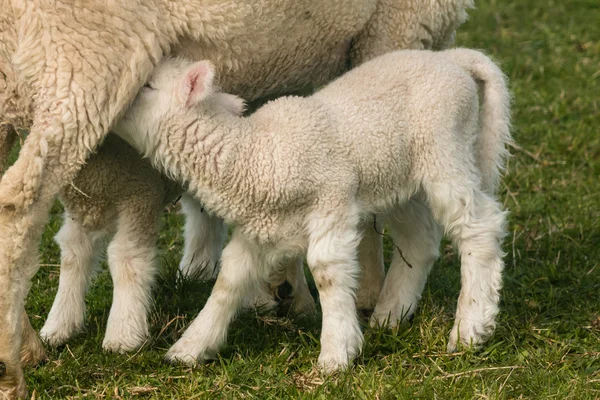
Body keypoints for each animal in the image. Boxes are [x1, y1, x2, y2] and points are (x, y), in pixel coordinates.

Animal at [113, 49, 510, 372]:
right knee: (420, 241)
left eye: (147, 86)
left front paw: (337, 353)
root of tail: (452, 59)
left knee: (480, 228)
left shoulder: (333, 201)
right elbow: (229, 279)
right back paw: (389, 316)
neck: (255, 153)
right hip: (399, 179)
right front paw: (191, 347)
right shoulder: (259, 228)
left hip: (445, 151)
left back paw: (471, 328)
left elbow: (326, 272)